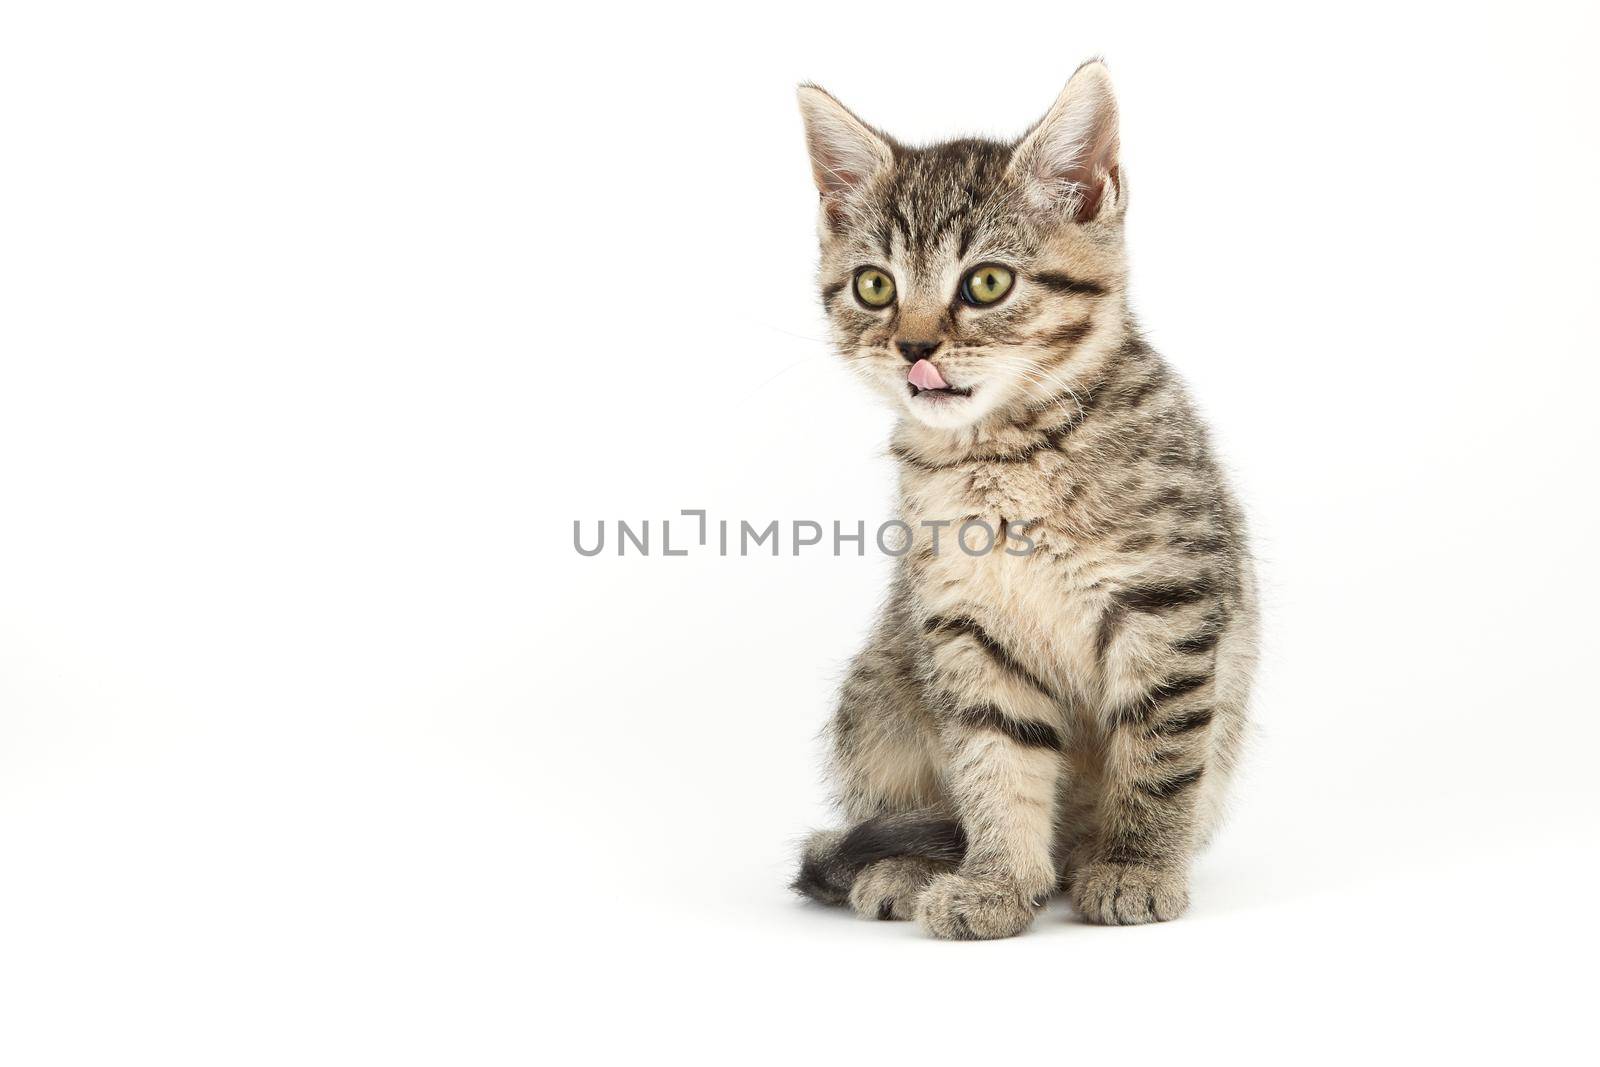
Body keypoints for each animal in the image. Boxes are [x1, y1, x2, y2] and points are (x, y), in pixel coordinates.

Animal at [793, 62, 1254, 940]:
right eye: (874, 286)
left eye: (987, 282)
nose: (914, 345)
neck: (1005, 455)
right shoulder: (964, 627)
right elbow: (993, 761)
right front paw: (998, 880)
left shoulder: (1167, 604)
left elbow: (1159, 751)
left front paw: (1138, 865)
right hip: (876, 693)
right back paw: (905, 865)